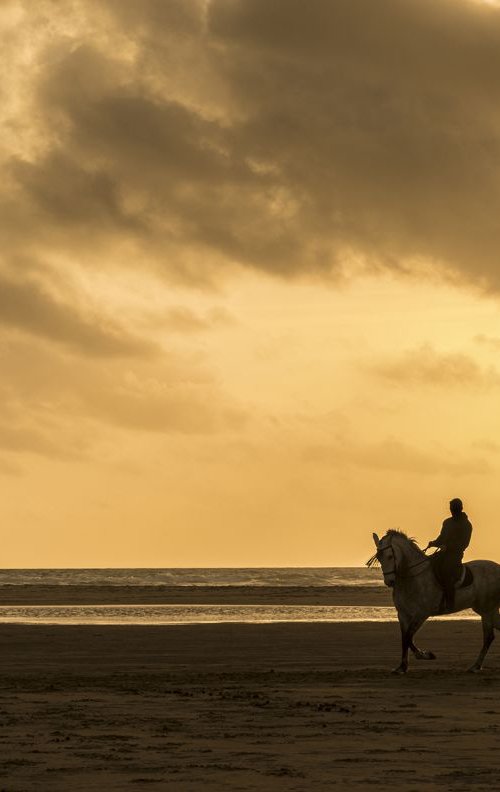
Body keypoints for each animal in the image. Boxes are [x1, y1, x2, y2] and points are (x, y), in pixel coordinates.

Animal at [366, 528, 500, 672]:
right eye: (379, 557)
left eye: (390, 556)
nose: (389, 582)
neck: (413, 577)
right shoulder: (403, 614)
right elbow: (405, 638)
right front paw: (402, 666)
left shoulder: (421, 614)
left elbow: (408, 637)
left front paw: (424, 655)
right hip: (485, 610)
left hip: (487, 610)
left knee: (488, 637)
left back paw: (476, 666)